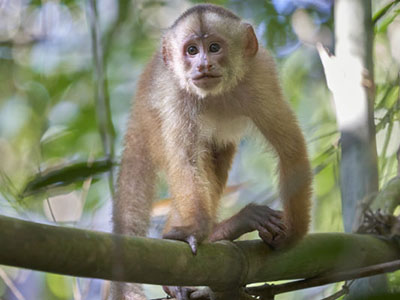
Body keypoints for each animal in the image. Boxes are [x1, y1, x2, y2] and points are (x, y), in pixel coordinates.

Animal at [111, 4, 312, 300]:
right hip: (151, 126)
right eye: (192, 50)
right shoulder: (176, 95)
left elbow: (290, 149)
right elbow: (187, 161)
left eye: (214, 47)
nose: (203, 64)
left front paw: (293, 235)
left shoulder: (260, 76)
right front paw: (195, 230)